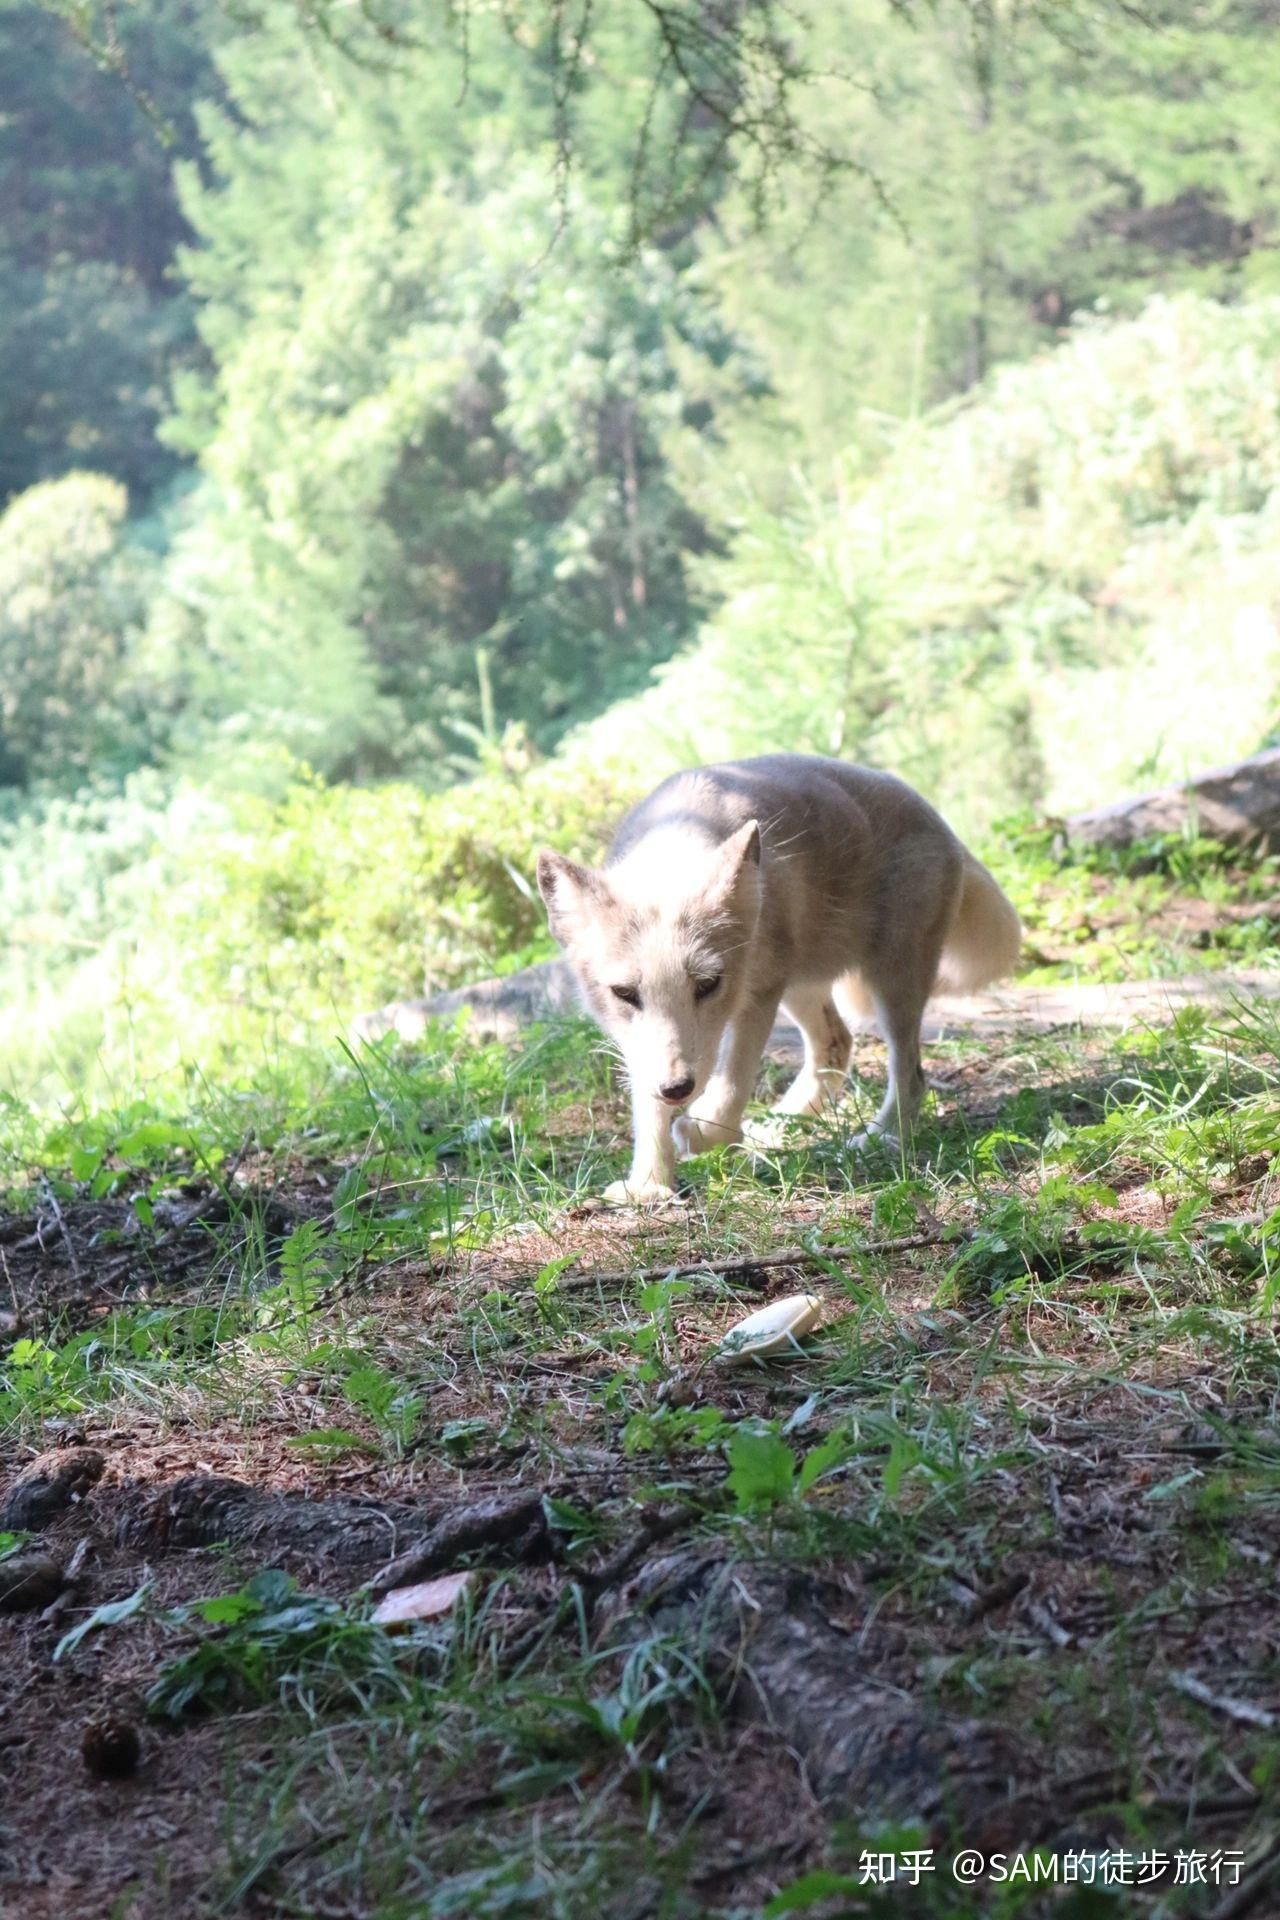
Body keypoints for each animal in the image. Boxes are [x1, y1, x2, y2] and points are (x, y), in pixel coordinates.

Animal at [537, 752, 1020, 1190]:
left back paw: (880, 1139)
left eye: (707, 985)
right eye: (625, 993)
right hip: (801, 985)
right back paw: (773, 1131)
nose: (676, 1088)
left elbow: (731, 1083)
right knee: (837, 1046)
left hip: (889, 983)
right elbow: (650, 1111)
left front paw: (704, 1132)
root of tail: (945, 827)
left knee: (911, 1075)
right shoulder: (643, 1047)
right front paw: (648, 1187)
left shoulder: (757, 995)